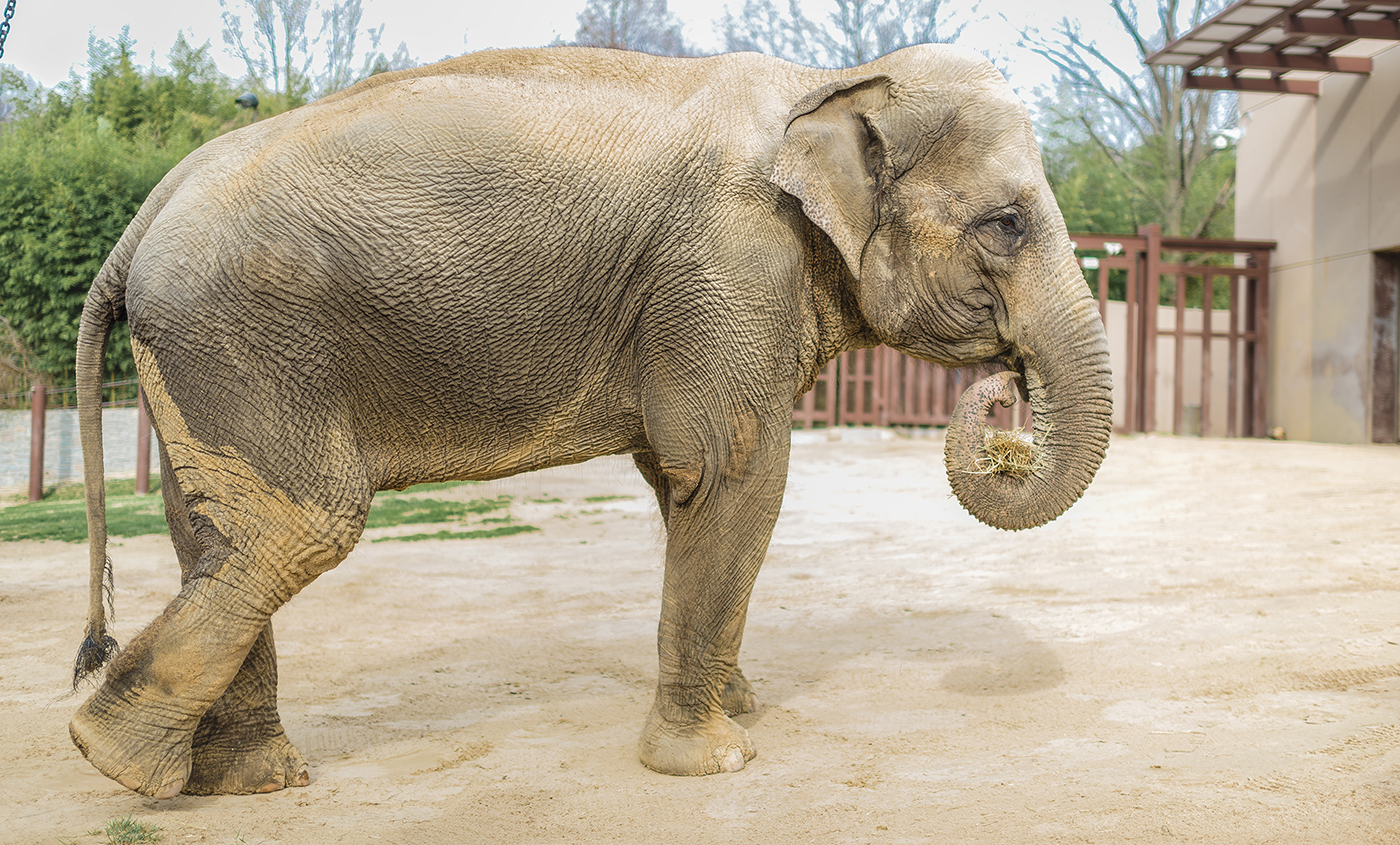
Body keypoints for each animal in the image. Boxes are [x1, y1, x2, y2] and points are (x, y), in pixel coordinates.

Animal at [68, 44, 1114, 800]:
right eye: (1008, 223)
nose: (1003, 392)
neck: (823, 85)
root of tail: (145, 212)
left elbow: (678, 482)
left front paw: (741, 708)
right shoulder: (729, 261)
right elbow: (733, 470)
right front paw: (715, 761)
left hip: (203, 357)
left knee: (216, 532)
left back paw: (246, 780)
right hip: (242, 342)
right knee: (296, 528)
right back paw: (117, 759)